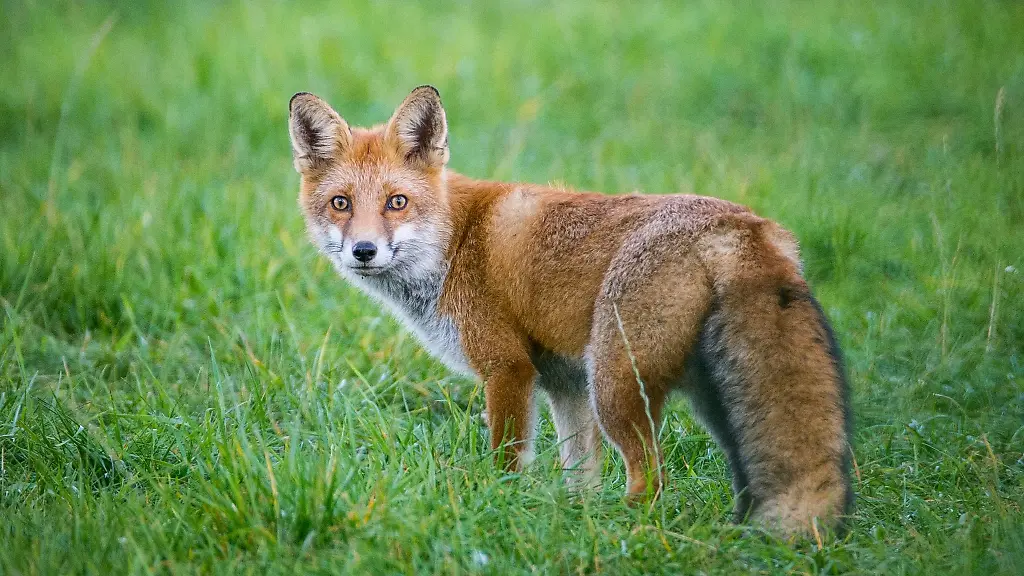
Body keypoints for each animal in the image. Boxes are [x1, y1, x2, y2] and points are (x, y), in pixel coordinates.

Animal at [287, 85, 853, 536]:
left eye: (396, 202)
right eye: (341, 203)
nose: (363, 251)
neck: (454, 243)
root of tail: (744, 224)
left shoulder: (508, 368)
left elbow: (508, 458)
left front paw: (503, 507)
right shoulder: (564, 382)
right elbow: (579, 473)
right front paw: (571, 517)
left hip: (616, 385)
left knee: (652, 477)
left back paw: (624, 529)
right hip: (706, 398)